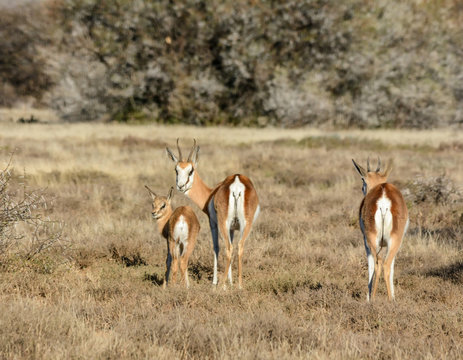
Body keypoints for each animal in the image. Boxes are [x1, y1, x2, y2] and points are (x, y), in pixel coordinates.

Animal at [166, 139, 260, 288]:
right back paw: (239, 285)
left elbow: (216, 247)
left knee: (228, 248)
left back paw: (221, 285)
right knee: (239, 247)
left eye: (191, 170)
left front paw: (216, 282)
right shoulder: (232, 228)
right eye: (176, 170)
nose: (180, 186)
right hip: (246, 224)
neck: (211, 193)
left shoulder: (213, 223)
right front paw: (231, 281)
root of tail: (237, 184)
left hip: (224, 223)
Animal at [354, 158, 408, 300]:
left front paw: (367, 298)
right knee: (387, 264)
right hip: (395, 241)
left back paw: (373, 299)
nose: (362, 188)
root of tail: (383, 200)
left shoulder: (365, 241)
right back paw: (390, 300)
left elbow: (370, 266)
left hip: (373, 240)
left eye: (362, 179)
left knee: (379, 263)